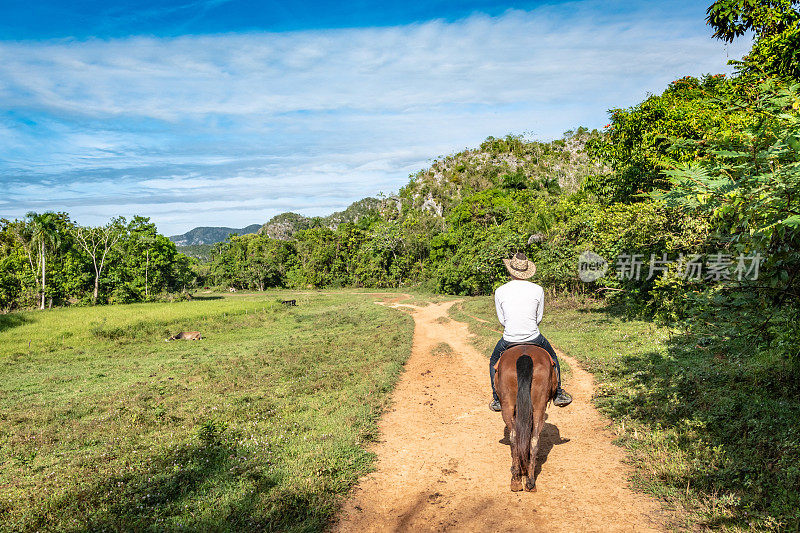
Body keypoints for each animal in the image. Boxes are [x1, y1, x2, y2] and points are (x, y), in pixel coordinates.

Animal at [494, 344, 556, 490]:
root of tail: (524, 355)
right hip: (538, 407)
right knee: (533, 439)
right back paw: (529, 480)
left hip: (508, 406)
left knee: (515, 437)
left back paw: (517, 479)